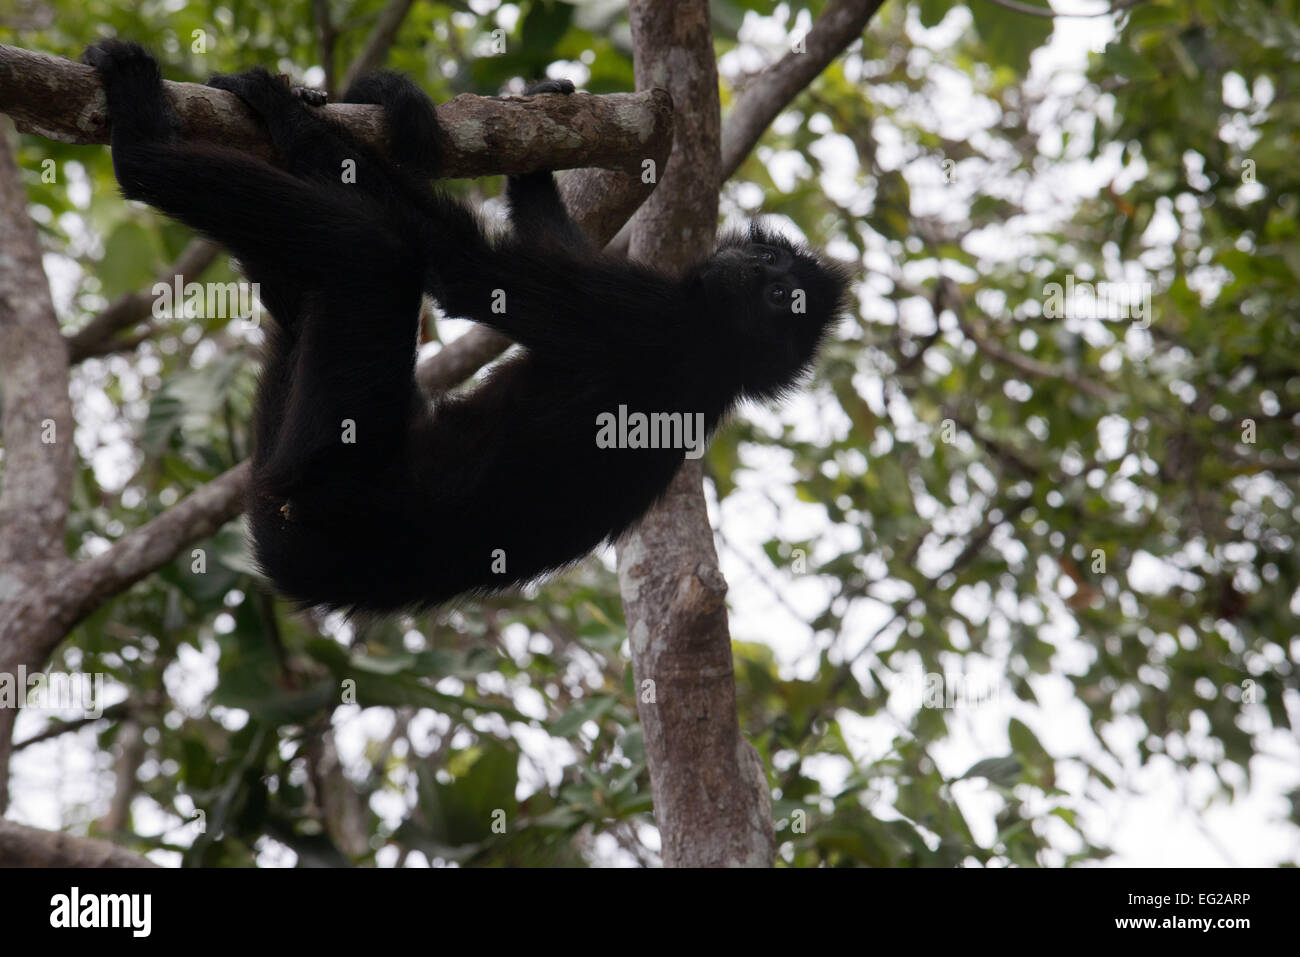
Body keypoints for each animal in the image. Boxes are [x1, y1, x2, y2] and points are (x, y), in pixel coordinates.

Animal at [83, 39, 852, 613]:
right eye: (775, 267)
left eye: (780, 289)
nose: (757, 263)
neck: (723, 357)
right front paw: (539, 147)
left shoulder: (645, 316)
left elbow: (464, 268)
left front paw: (274, 104)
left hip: (324, 466)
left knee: (377, 253)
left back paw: (143, 141)